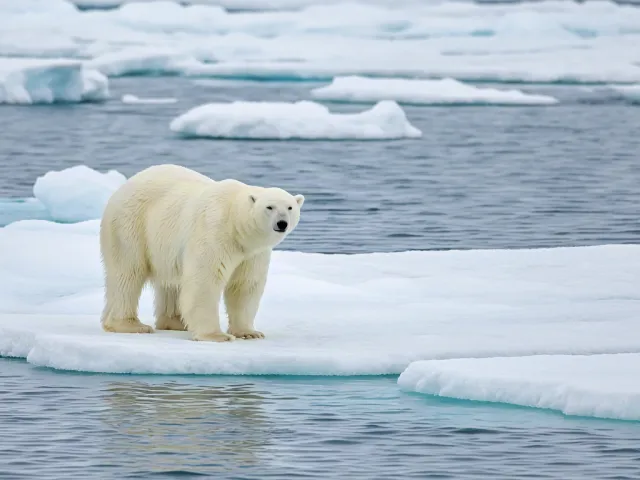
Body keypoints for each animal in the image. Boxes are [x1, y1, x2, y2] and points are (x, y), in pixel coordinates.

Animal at [99, 164, 304, 342]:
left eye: (290, 207)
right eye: (269, 207)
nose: (282, 223)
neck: (236, 225)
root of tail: (123, 187)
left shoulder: (252, 253)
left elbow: (244, 285)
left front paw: (249, 332)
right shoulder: (215, 233)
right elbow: (205, 280)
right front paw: (216, 335)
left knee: (171, 282)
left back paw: (176, 322)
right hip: (131, 226)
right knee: (127, 273)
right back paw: (130, 325)